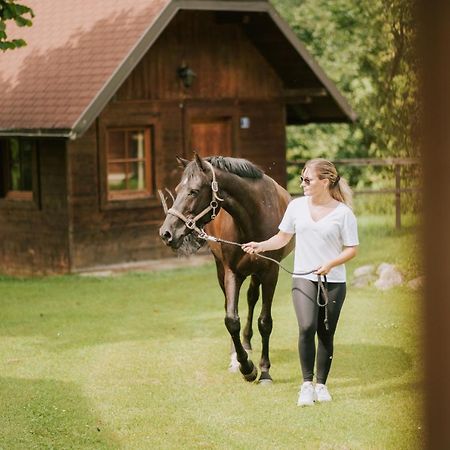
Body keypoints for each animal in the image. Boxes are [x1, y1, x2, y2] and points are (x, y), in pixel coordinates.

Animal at [160, 155, 294, 384]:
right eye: (177, 189)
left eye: (193, 191)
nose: (166, 233)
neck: (255, 214)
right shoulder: (232, 272)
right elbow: (231, 319)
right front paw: (246, 367)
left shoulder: (270, 273)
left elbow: (265, 322)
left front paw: (264, 371)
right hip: (221, 270)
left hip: (256, 274)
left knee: (251, 298)